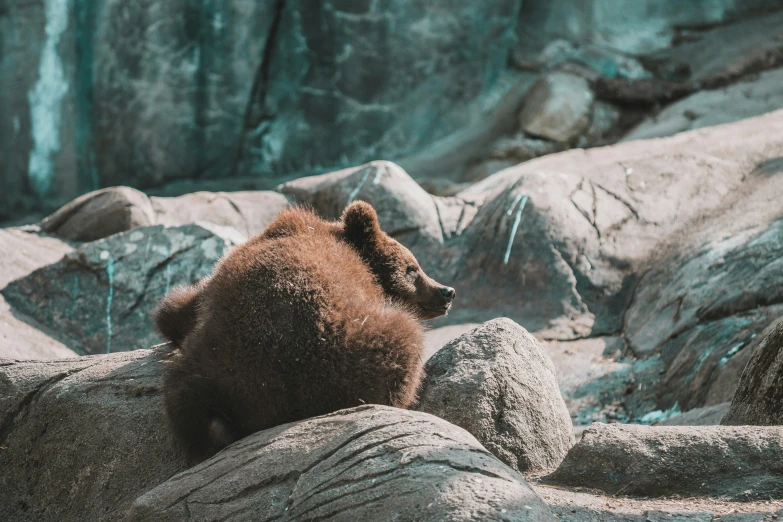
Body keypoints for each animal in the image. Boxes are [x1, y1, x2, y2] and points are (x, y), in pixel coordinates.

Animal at [155, 201, 456, 466]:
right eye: (412, 268)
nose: (447, 291)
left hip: (209, 368)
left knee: (186, 399)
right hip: (350, 348)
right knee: (404, 341)